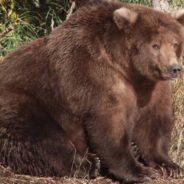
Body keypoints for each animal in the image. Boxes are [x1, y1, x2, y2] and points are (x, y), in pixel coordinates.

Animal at [0, 0, 184, 183]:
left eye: (175, 43)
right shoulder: (93, 73)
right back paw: (88, 165)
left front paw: (169, 165)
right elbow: (109, 125)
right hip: (25, 100)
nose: (174, 68)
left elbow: (153, 123)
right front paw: (141, 171)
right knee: (42, 136)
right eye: (155, 45)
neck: (128, 69)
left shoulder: (151, 87)